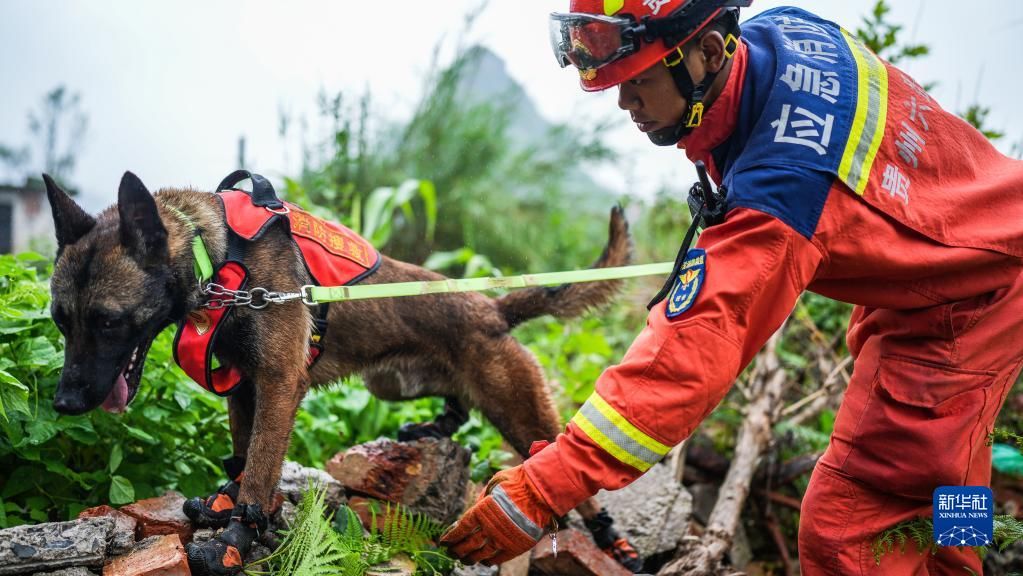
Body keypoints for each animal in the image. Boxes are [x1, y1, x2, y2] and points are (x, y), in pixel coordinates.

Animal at [48, 169, 638, 572]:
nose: (63, 404)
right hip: (397, 383)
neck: (214, 257)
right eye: (60, 320)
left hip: (518, 411)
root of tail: (492, 308)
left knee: (570, 471)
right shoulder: (244, 386)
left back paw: (612, 538)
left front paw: (237, 539)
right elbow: (243, 456)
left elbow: (261, 471)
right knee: (457, 406)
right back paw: (431, 426)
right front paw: (225, 504)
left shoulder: (279, 383)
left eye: (107, 321)